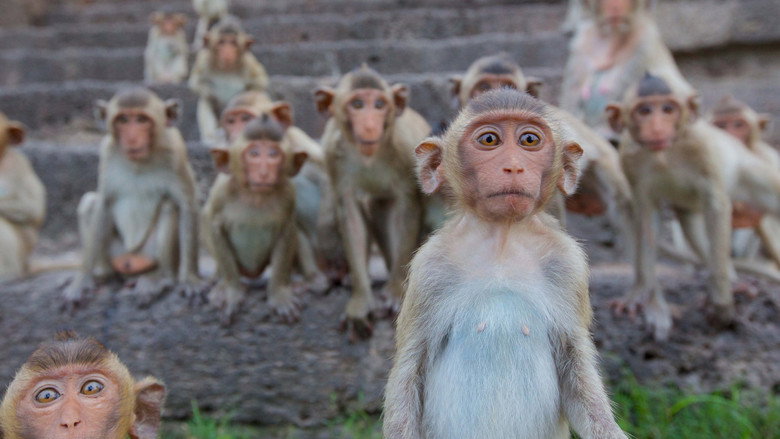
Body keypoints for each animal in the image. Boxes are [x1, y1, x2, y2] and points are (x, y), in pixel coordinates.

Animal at [64, 88, 202, 307]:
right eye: (123, 120)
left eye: (141, 120)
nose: (131, 138)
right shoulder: (107, 153)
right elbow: (103, 204)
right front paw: (81, 280)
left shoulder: (176, 152)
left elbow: (186, 205)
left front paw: (189, 279)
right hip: (117, 253)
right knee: (90, 202)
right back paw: (102, 275)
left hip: (148, 255)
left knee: (169, 206)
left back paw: (158, 278)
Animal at [203, 115, 309, 324]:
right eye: (254, 153)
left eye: (273, 154)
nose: (264, 171)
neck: (254, 195)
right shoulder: (220, 191)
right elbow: (215, 227)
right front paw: (231, 291)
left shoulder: (289, 194)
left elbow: (287, 230)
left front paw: (279, 294)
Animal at [314, 65, 431, 341]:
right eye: (357, 104)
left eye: (379, 104)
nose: (369, 125)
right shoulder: (333, 155)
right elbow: (351, 216)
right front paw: (360, 301)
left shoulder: (405, 149)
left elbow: (406, 208)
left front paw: (395, 292)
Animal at [383, 89, 627, 439]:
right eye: (489, 140)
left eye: (529, 140)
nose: (513, 167)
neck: (502, 239)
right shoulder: (430, 268)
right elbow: (410, 366)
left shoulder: (567, 264)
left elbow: (575, 366)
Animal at [606, 73, 780, 340]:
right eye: (644, 111)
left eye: (668, 109)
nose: (657, 127)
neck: (665, 153)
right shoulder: (630, 161)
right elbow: (646, 217)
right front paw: (646, 298)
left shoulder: (702, 149)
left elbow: (716, 205)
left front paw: (721, 305)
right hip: (689, 209)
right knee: (693, 231)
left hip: (750, 169)